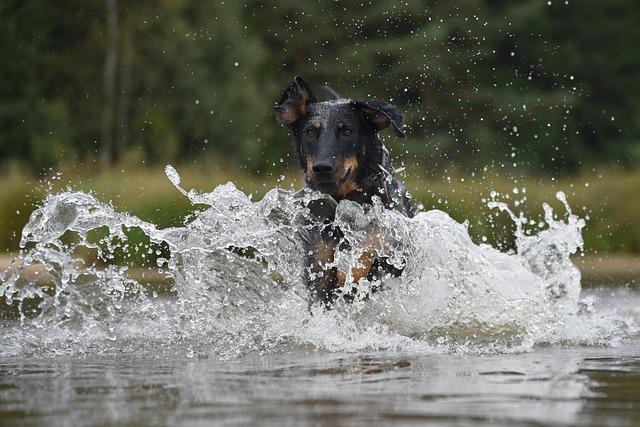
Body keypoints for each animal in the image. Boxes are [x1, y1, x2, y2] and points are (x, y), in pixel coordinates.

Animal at [276, 75, 416, 306]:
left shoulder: (389, 256)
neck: (348, 204)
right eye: (310, 132)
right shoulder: (319, 265)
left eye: (348, 131)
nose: (321, 168)